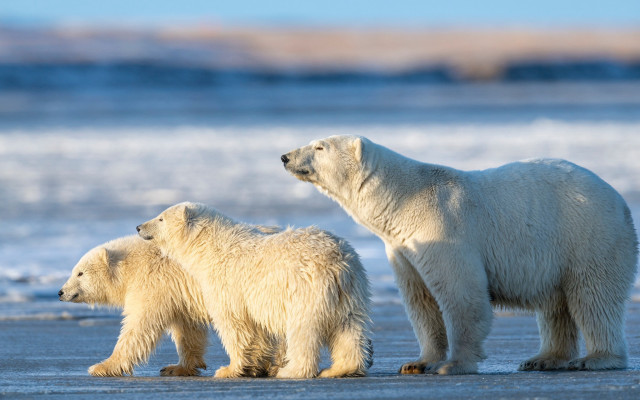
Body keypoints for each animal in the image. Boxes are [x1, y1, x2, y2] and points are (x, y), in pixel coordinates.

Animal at [59, 235, 210, 377]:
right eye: (74, 271)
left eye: (80, 273)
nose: (61, 292)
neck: (131, 266)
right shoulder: (180, 296)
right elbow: (188, 329)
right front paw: (177, 368)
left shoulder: (155, 281)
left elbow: (139, 325)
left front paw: (102, 367)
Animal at [136, 202, 373, 379]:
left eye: (161, 218)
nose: (139, 227)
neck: (211, 247)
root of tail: (339, 262)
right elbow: (257, 331)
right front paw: (254, 366)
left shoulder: (227, 284)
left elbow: (234, 326)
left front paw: (228, 369)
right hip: (352, 292)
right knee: (348, 328)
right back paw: (340, 369)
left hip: (307, 290)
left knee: (303, 331)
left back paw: (292, 370)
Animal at [281, 135, 638, 375]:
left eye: (320, 147)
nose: (285, 156)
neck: (404, 201)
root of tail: (619, 200)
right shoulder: (403, 248)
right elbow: (421, 302)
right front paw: (417, 363)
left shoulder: (442, 226)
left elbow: (460, 293)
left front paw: (453, 364)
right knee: (555, 305)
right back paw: (542, 359)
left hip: (587, 235)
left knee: (593, 297)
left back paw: (595, 358)